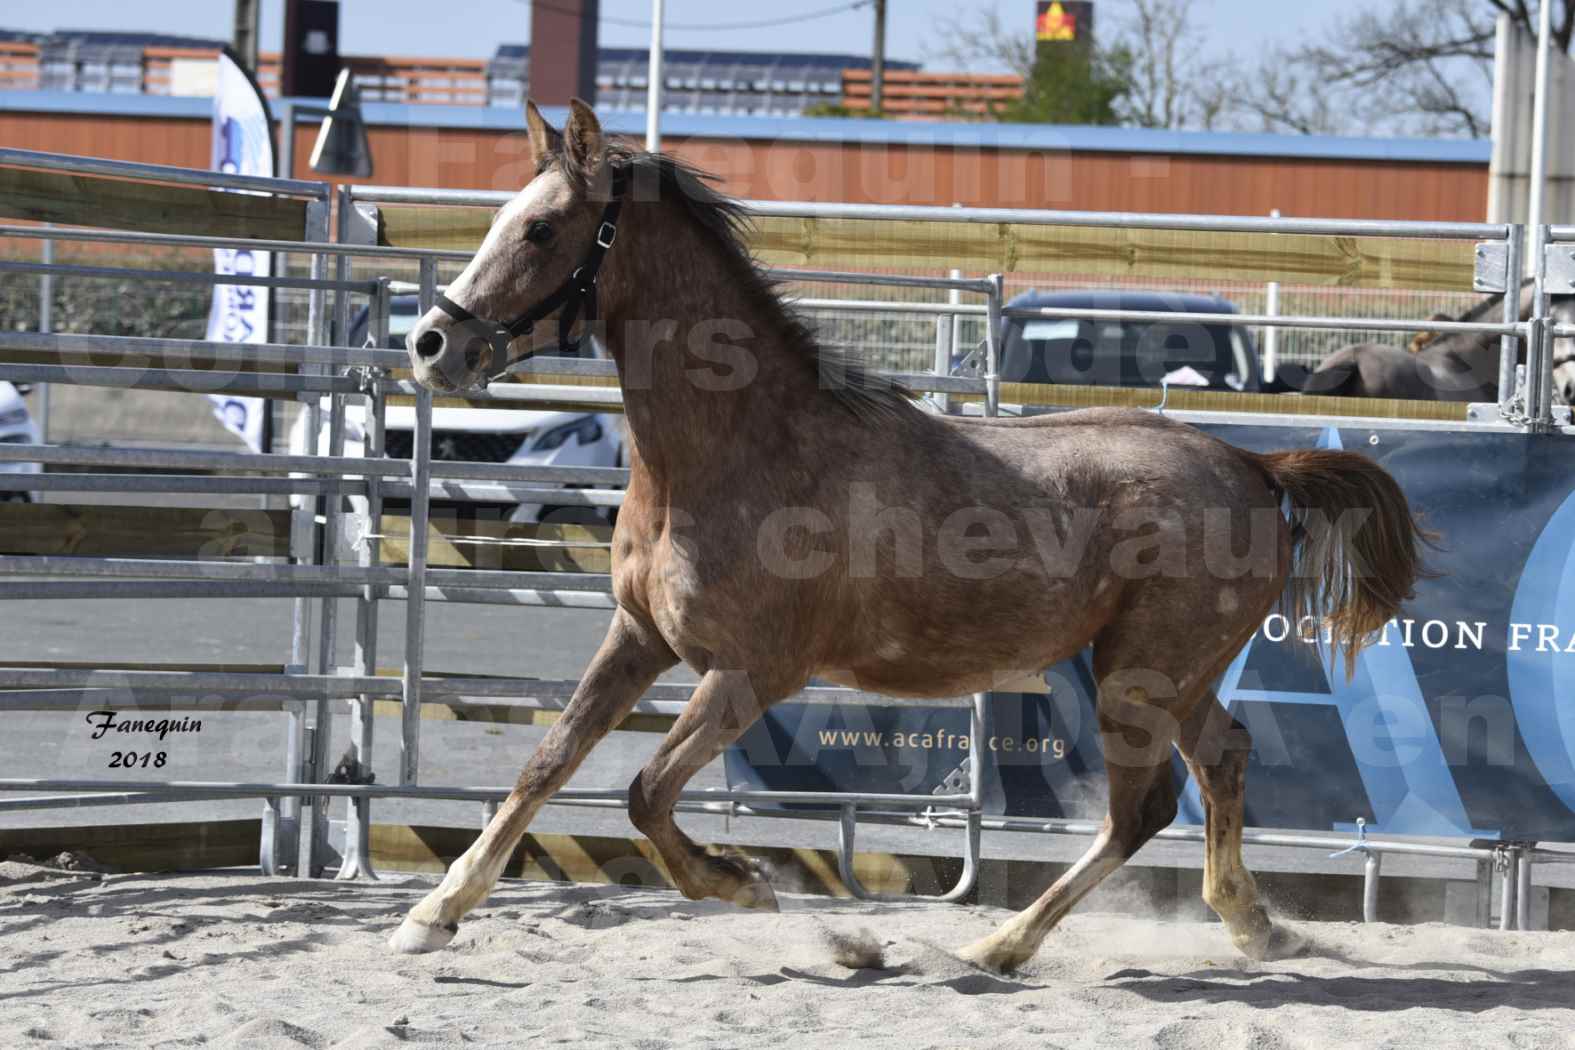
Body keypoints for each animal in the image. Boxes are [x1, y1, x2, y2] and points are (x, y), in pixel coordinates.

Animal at [390, 102, 1430, 976]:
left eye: (541, 229)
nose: (432, 346)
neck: (738, 447)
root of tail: (1254, 465)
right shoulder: (637, 638)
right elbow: (549, 761)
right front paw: (433, 915)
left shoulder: (752, 674)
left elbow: (645, 790)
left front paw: (747, 886)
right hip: (1177, 674)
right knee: (1223, 757)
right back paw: (1253, 926)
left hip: (1140, 676)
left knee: (1141, 809)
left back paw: (1000, 946)